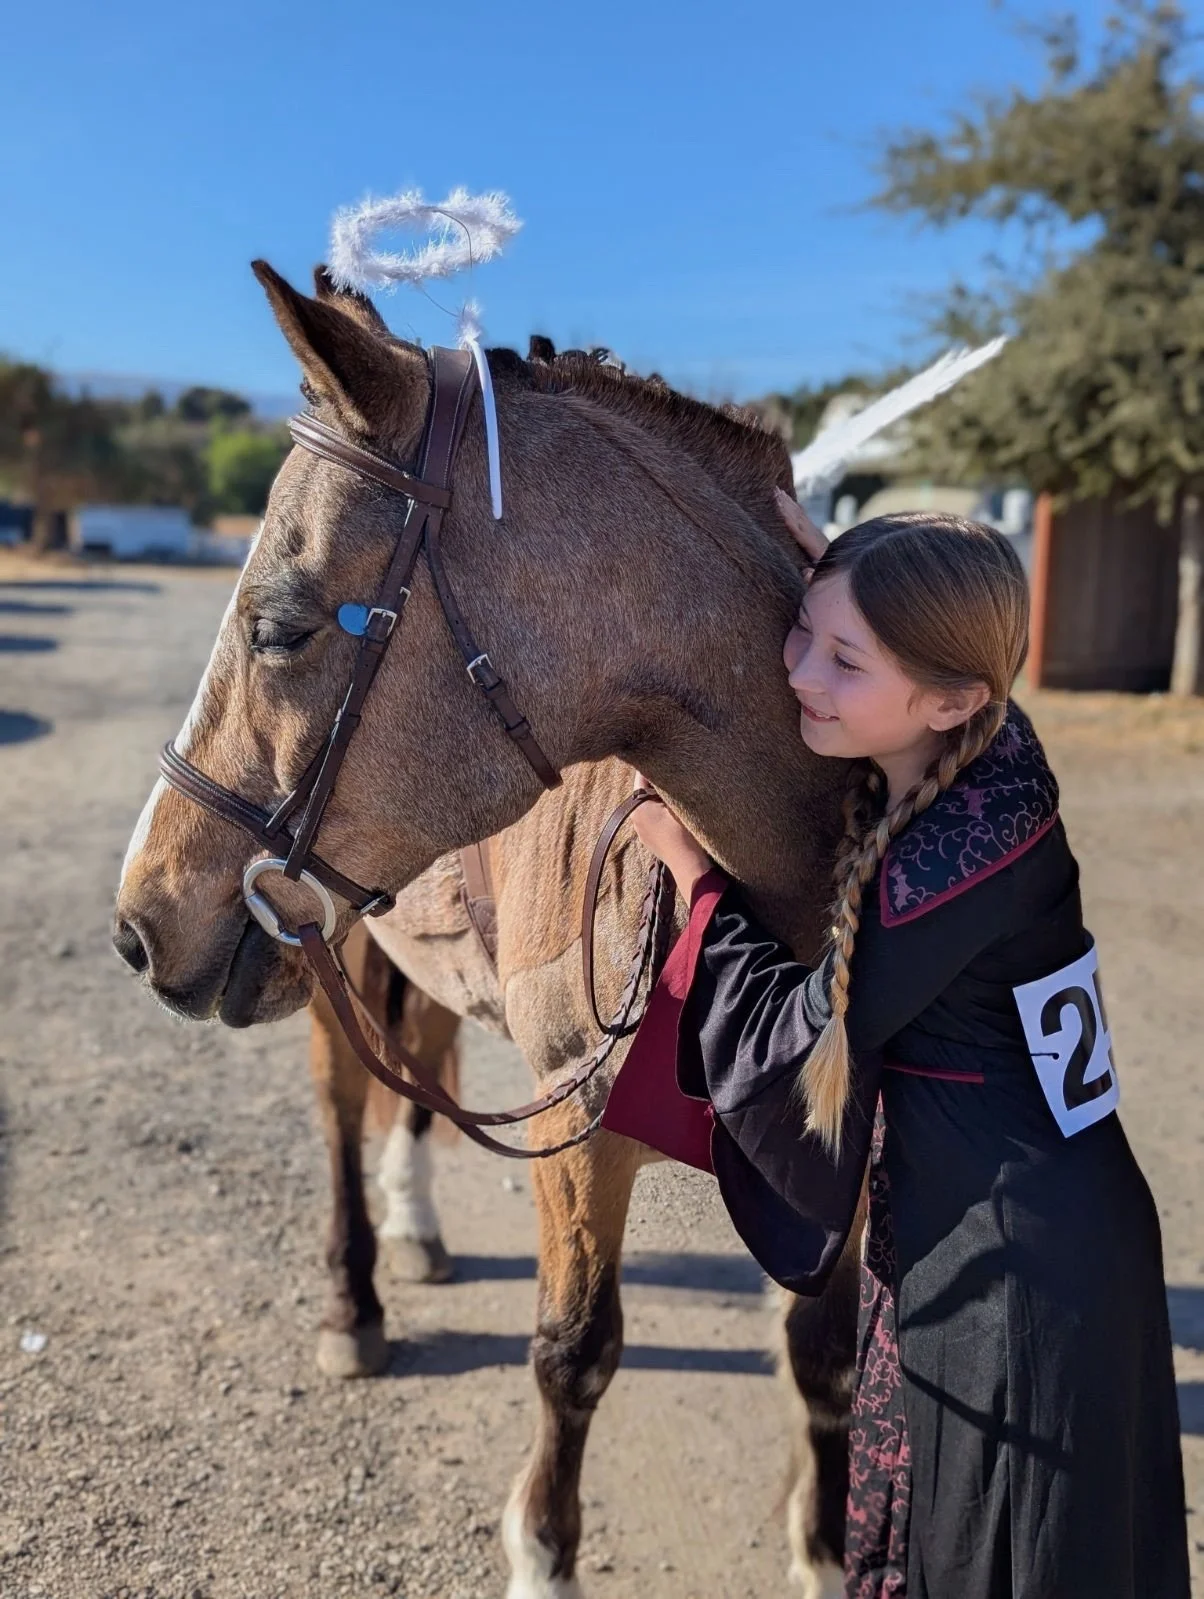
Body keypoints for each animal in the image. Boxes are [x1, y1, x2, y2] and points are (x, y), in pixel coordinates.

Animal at [115, 265, 857, 1599]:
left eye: (279, 627)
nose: (140, 919)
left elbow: (821, 1353)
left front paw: (822, 1551)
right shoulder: (576, 1126)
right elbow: (575, 1352)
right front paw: (543, 1557)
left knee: (415, 1077)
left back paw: (413, 1229)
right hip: (333, 961)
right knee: (344, 1116)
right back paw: (355, 1300)